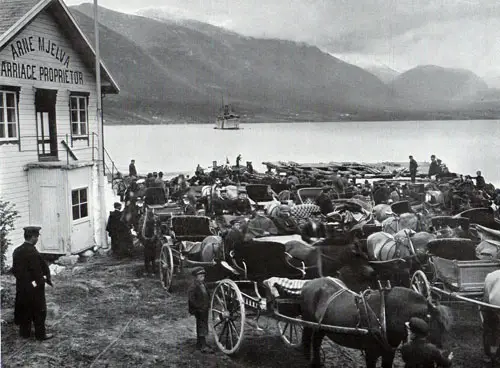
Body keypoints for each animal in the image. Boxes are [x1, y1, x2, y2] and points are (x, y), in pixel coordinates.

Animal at [300, 278, 454, 368]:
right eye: (438, 325)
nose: (445, 354)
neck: (385, 314)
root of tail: (309, 282)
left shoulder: (389, 353)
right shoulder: (371, 353)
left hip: (320, 328)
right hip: (312, 323)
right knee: (313, 340)